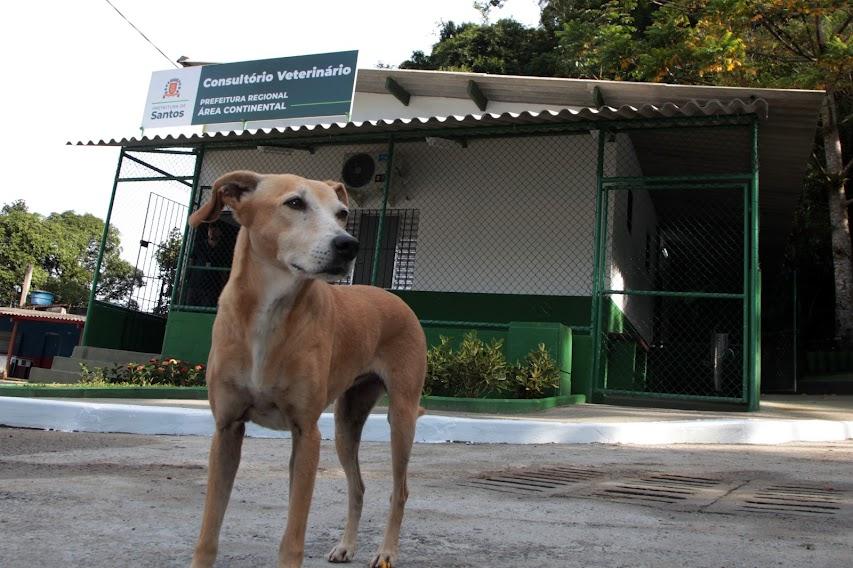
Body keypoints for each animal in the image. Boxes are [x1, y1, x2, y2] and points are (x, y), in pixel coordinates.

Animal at [187, 172, 426, 568]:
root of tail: (394, 297)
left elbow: (293, 538)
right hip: (347, 423)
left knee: (401, 490)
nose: (348, 245)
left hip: (401, 418)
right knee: (358, 486)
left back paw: (386, 551)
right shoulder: (227, 429)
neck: (271, 314)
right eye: (295, 203)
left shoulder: (306, 434)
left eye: (342, 213)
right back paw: (346, 545)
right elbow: (208, 532)